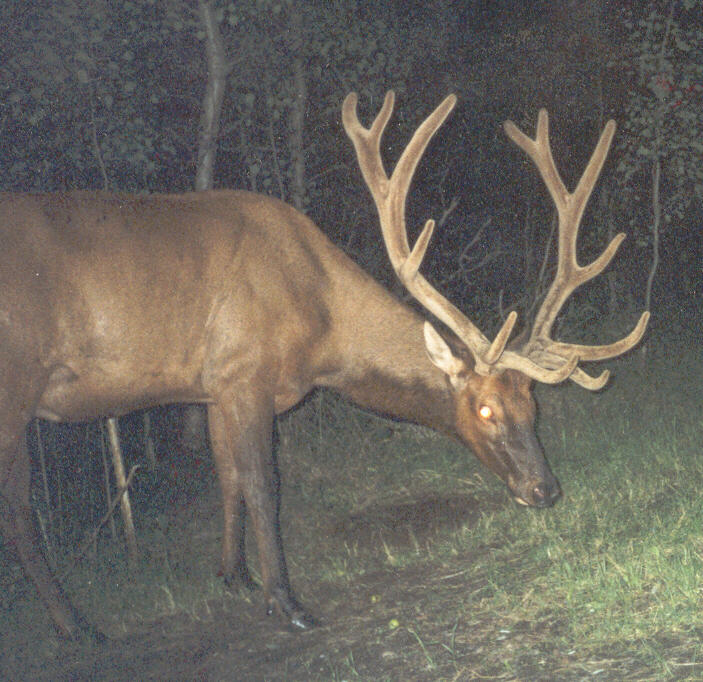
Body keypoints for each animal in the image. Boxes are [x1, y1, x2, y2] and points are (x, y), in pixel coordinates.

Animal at [0, 90, 648, 636]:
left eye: (533, 406)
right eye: (485, 409)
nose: (545, 489)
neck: (321, 330)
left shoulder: (213, 386)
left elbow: (227, 477)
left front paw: (234, 576)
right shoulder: (246, 373)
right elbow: (263, 484)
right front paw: (286, 602)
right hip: (14, 387)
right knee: (21, 511)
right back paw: (75, 626)